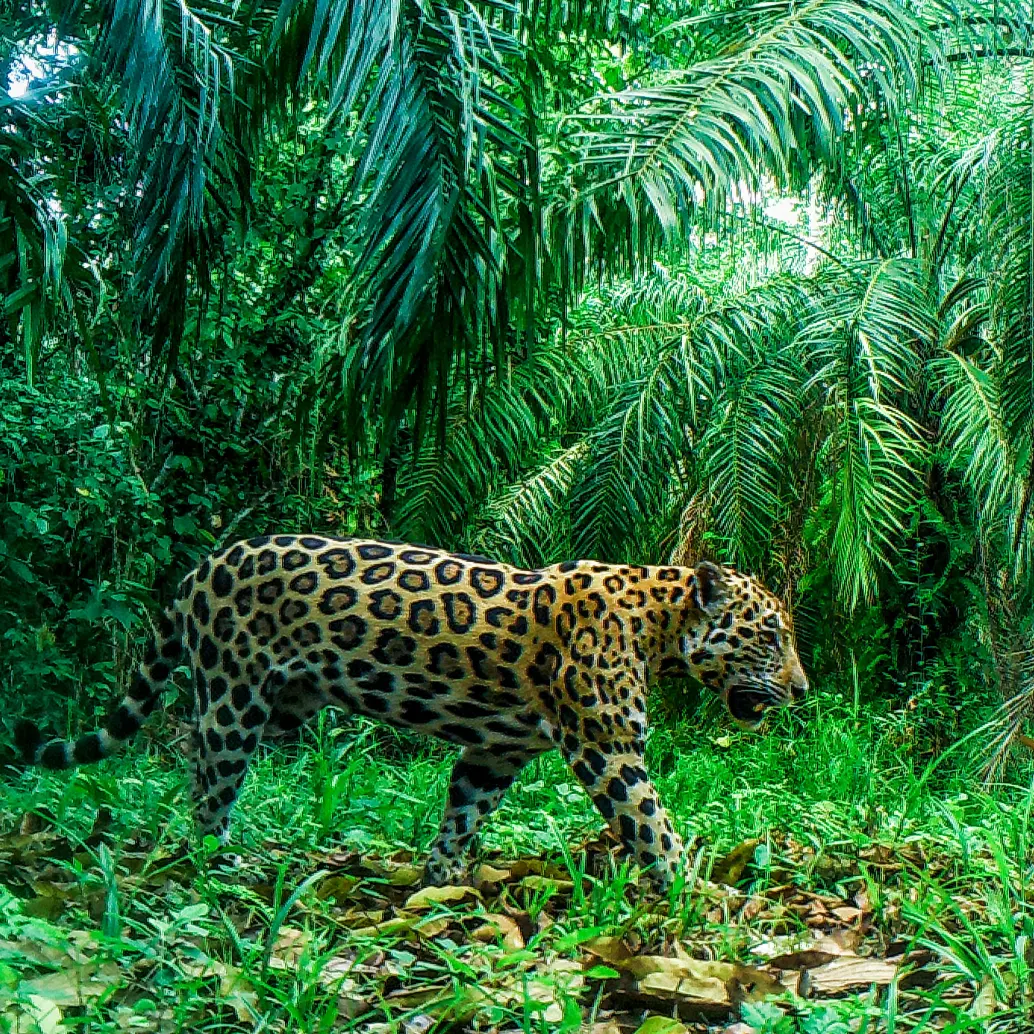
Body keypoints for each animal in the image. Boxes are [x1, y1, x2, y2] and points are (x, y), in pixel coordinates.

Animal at [15, 535, 808, 888]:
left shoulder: (494, 752)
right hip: (236, 696)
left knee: (197, 750)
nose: (802, 690)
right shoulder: (606, 749)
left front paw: (441, 882)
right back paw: (212, 858)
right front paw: (697, 896)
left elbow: (462, 815)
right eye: (772, 636)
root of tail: (202, 566)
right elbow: (652, 827)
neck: (658, 624)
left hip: (279, 707)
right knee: (208, 770)